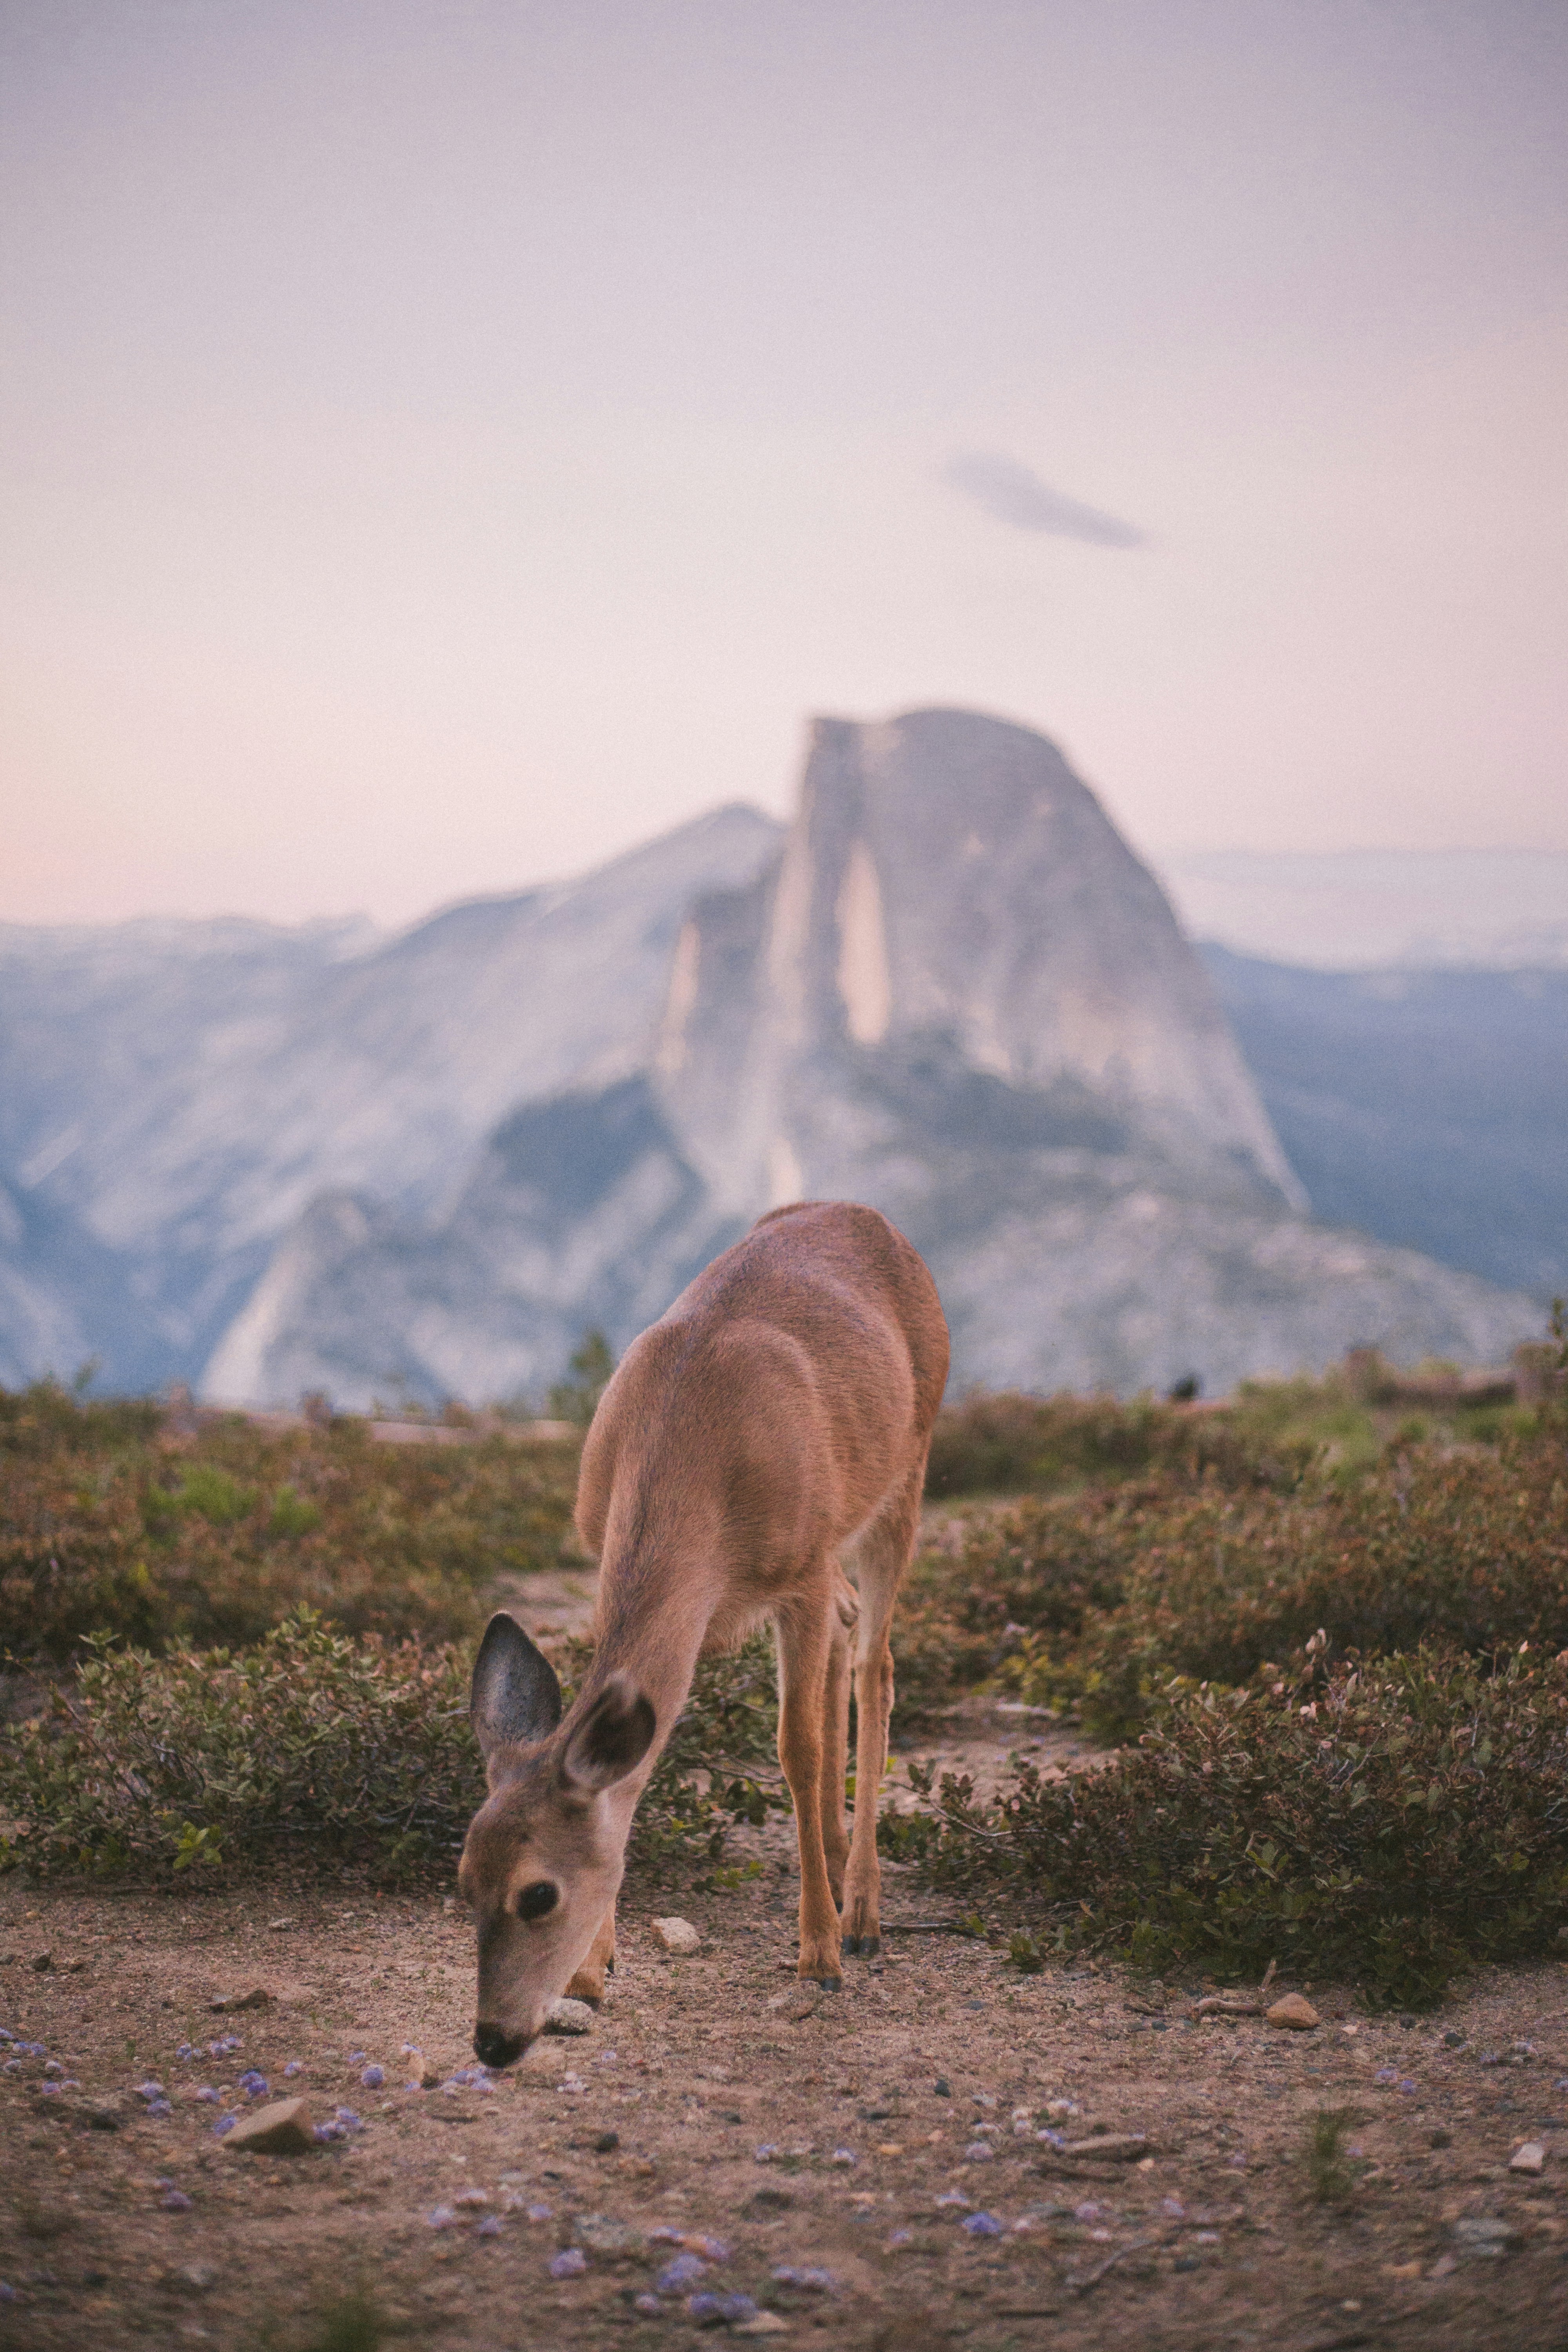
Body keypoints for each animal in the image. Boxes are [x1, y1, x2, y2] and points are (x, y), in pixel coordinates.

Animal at [457, 1199, 949, 2067]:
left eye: (538, 1893)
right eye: (461, 1880)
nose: (492, 2042)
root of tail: (871, 1217)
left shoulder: (799, 1567)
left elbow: (796, 1748)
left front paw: (818, 1956)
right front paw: (592, 1971)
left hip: (903, 1474)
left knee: (875, 1664)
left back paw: (859, 1911)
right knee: (848, 1629)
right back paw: (830, 1854)